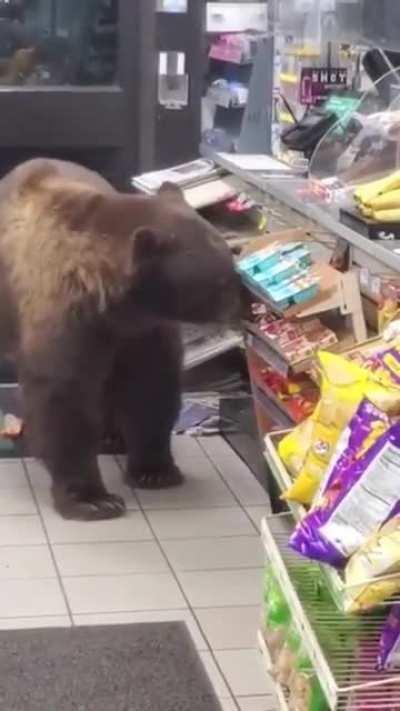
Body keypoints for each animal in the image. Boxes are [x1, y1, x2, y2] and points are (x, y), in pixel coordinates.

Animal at [0, 158, 239, 521]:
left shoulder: (143, 332)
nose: (244, 305)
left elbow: (149, 388)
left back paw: (113, 437)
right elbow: (64, 399)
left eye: (230, 262)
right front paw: (93, 499)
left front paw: (156, 470)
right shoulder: (65, 320)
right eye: (221, 279)